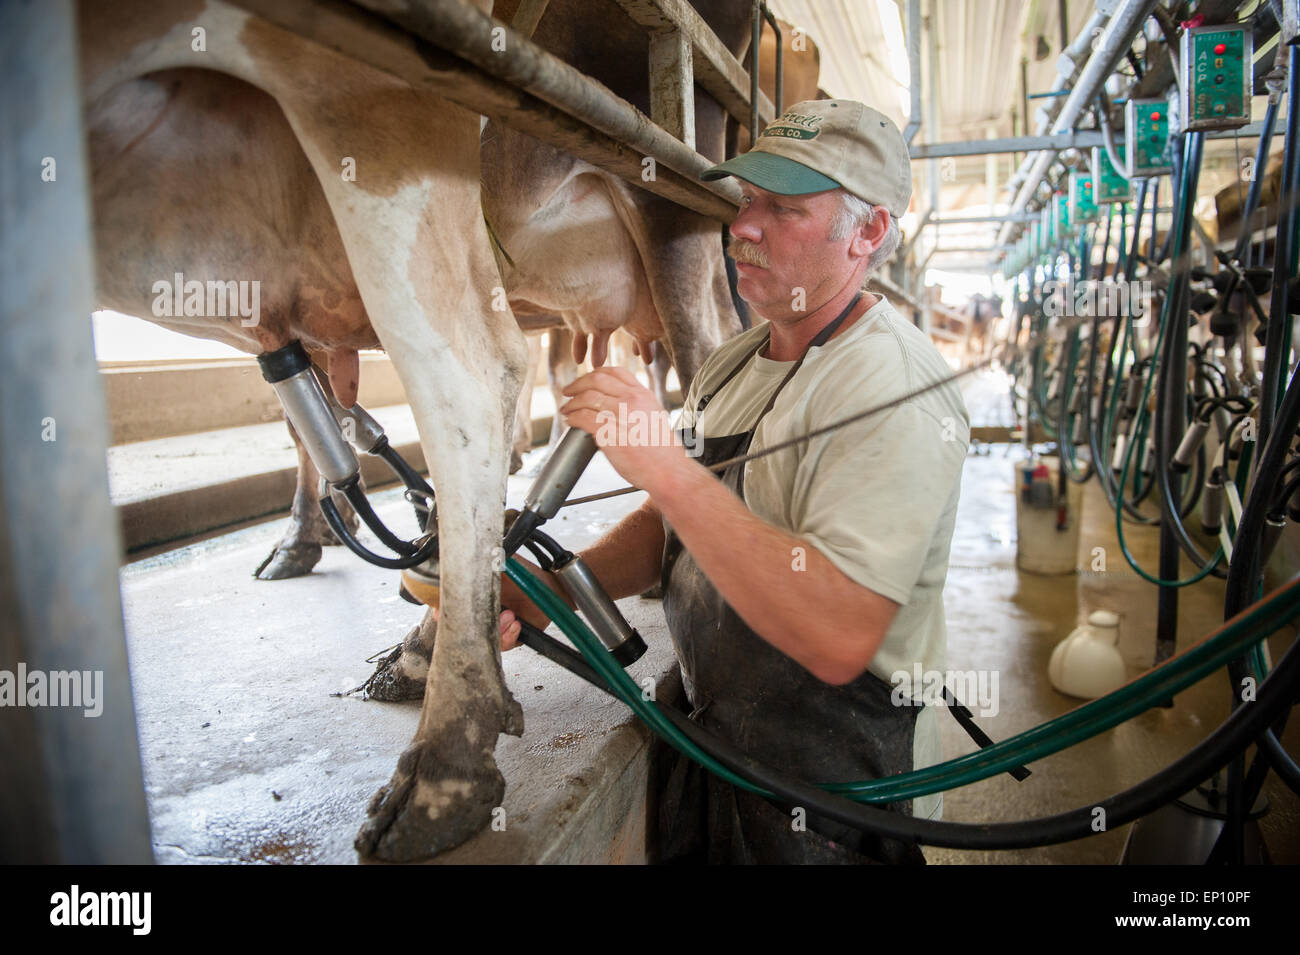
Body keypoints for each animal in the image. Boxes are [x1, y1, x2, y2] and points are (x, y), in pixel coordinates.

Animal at [81, 0, 754, 862]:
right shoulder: (285, 307)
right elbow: (305, 422)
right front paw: (299, 538)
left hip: (596, 185)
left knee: (500, 374)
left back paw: (442, 766)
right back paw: (430, 643)